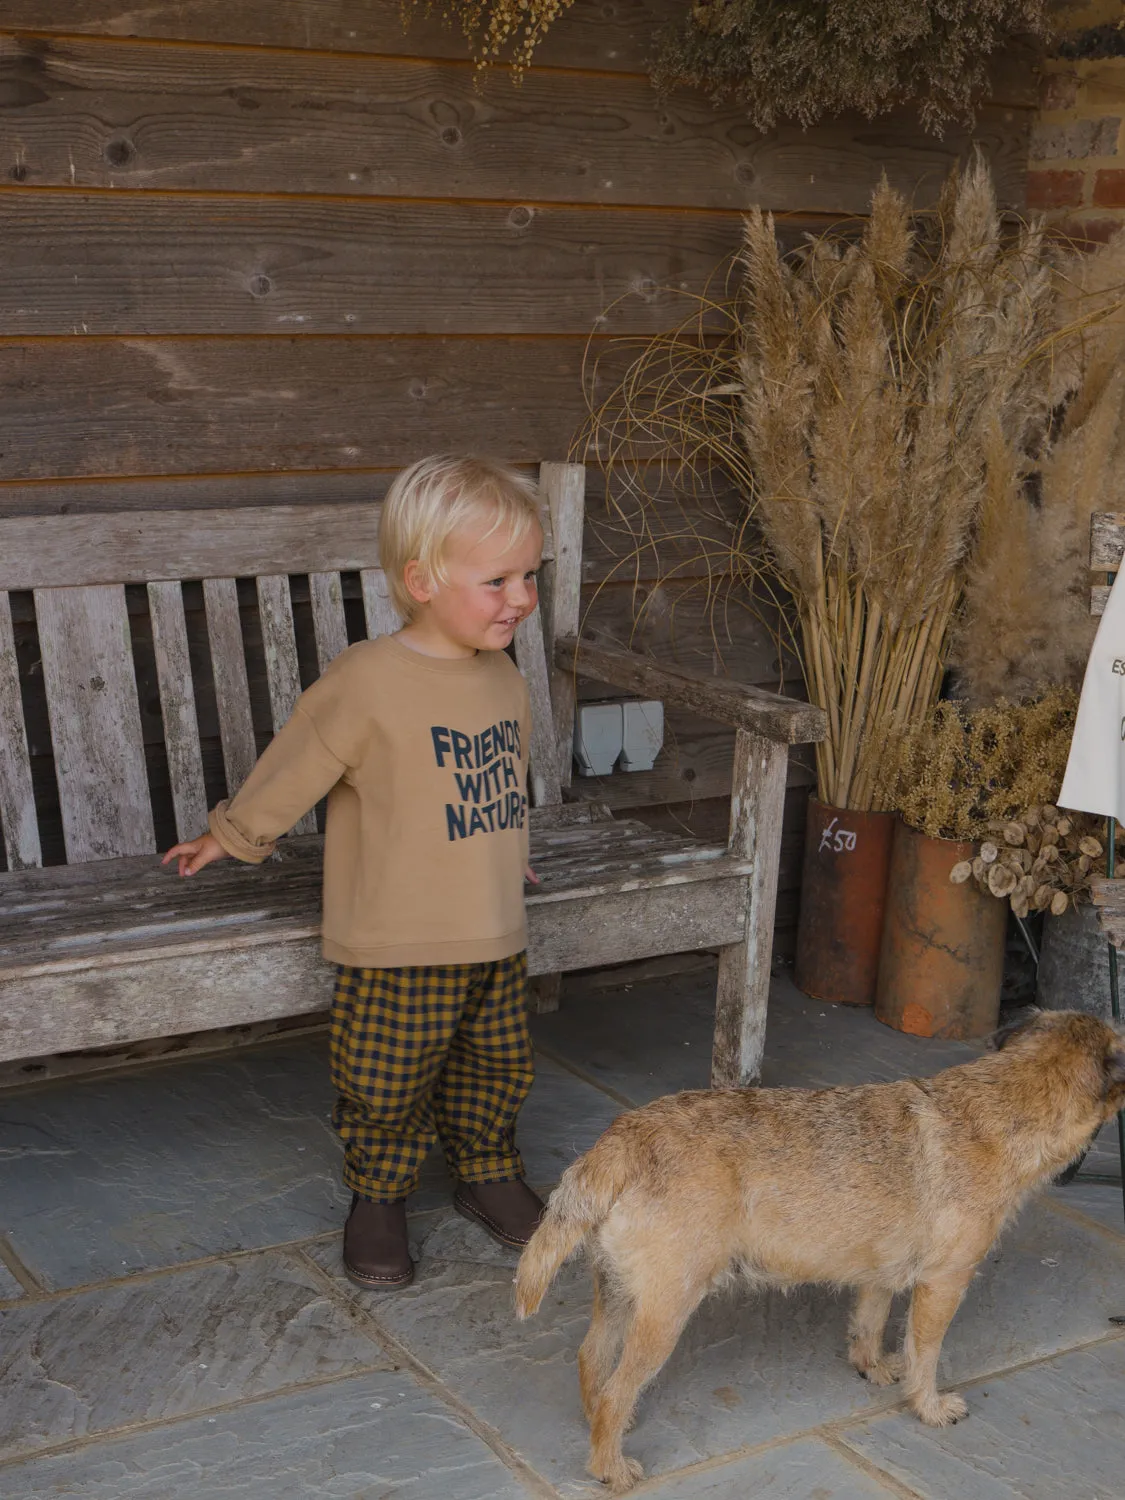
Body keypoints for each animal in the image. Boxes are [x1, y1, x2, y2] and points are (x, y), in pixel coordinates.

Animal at [516, 1008, 1122, 1488]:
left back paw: (604, 1430)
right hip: (665, 1312)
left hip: (620, 1293)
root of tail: (622, 1139)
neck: (1003, 1103)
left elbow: (870, 1321)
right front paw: (927, 1406)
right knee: (619, 1386)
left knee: (593, 1359)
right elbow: (924, 1353)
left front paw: (872, 1366)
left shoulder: (879, 1271)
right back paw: (611, 1467)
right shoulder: (944, 1283)